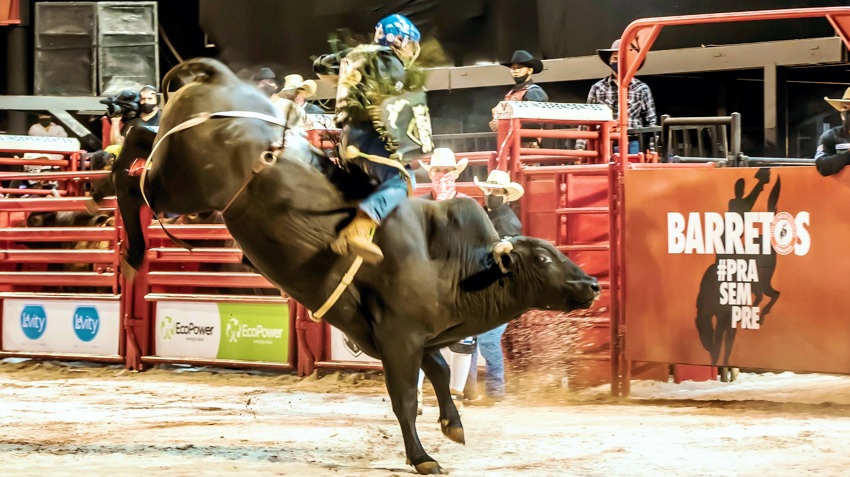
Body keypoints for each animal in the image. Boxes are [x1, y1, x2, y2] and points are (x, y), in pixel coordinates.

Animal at [102, 58, 600, 472]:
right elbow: (405, 397)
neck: (454, 266)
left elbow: (439, 371)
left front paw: (453, 426)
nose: (592, 284)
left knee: (141, 138)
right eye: (542, 257)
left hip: (178, 173)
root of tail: (219, 77)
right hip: (181, 183)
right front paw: (422, 457)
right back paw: (132, 248)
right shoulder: (399, 335)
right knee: (135, 175)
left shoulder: (416, 335)